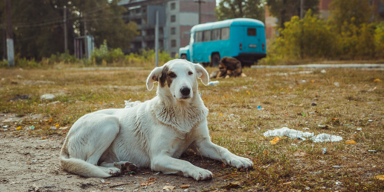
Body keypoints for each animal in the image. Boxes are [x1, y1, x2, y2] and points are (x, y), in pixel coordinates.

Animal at [60, 59, 254, 180]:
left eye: (190, 73)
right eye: (172, 75)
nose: (185, 90)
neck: (182, 113)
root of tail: (66, 140)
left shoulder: (202, 143)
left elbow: (223, 150)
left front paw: (238, 159)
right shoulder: (159, 157)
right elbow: (184, 162)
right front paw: (198, 171)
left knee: (100, 160)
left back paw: (123, 165)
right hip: (110, 123)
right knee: (90, 163)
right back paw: (111, 170)